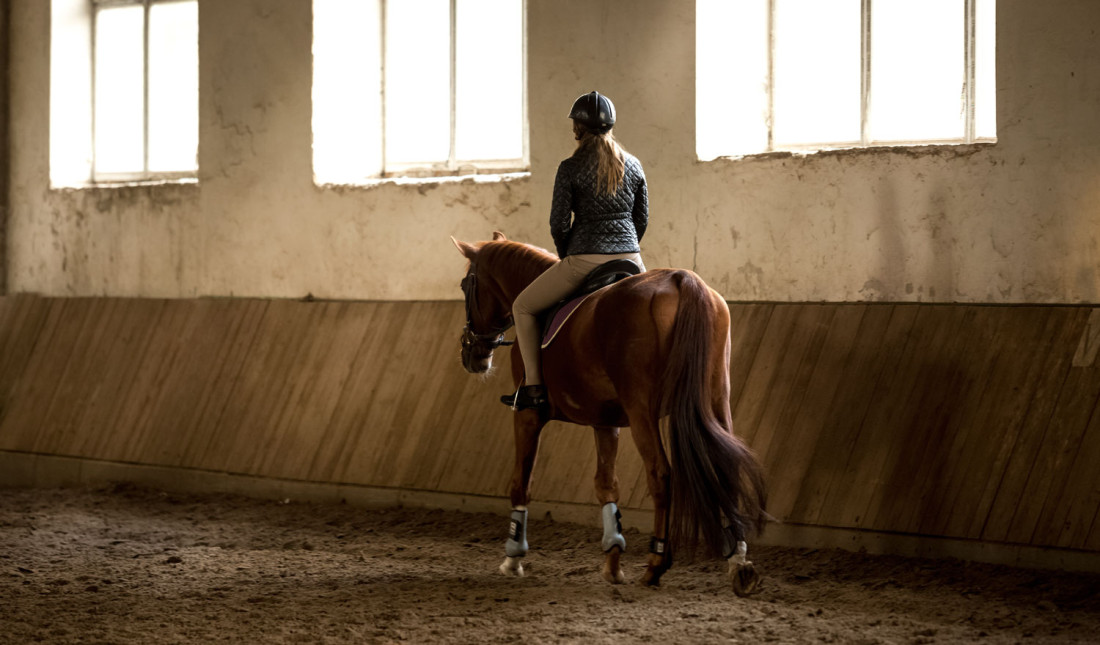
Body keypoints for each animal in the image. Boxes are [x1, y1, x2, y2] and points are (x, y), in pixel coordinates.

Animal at [451, 231, 770, 594]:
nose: (472, 354)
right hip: (715, 401)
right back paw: (739, 563)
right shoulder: (605, 422)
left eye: (466, 285)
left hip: (642, 410)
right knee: (725, 467)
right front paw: (613, 560)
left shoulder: (527, 416)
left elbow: (521, 483)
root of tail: (682, 280)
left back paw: (656, 563)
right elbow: (606, 485)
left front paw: (513, 558)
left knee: (661, 474)